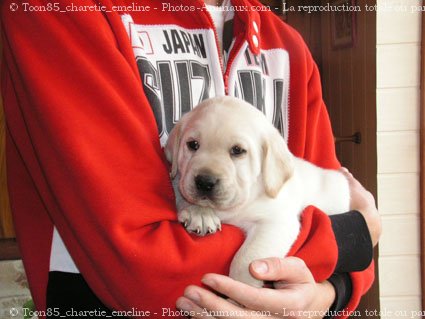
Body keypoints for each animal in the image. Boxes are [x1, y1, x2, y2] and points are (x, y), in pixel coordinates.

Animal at [164, 97, 350, 288]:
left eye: (237, 150)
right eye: (193, 144)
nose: (204, 182)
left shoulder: (276, 222)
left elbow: (246, 259)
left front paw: (239, 289)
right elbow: (182, 193)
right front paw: (199, 213)